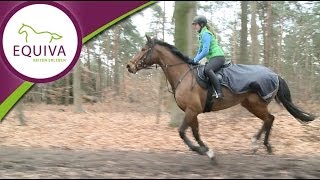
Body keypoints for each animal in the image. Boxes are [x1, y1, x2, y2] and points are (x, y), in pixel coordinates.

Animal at [125, 34, 316, 160]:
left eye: (143, 49)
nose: (129, 66)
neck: (183, 75)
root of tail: (275, 74)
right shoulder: (192, 112)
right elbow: (195, 133)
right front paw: (207, 151)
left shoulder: (192, 110)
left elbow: (182, 132)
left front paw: (202, 151)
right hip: (249, 104)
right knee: (269, 120)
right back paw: (260, 145)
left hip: (256, 104)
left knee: (270, 118)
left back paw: (260, 144)